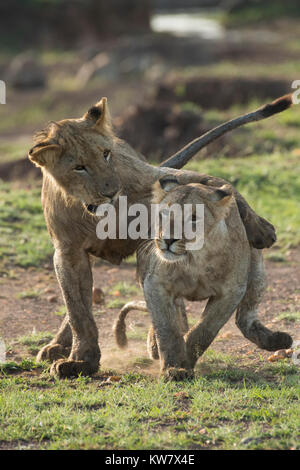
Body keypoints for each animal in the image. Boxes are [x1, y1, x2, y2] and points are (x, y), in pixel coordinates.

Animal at [113, 178, 292, 380]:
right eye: (163, 214)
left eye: (193, 218)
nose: (168, 240)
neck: (195, 259)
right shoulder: (155, 284)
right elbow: (166, 328)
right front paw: (173, 369)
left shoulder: (232, 292)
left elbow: (204, 331)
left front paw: (186, 361)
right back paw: (154, 346)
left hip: (257, 271)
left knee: (246, 317)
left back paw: (278, 339)